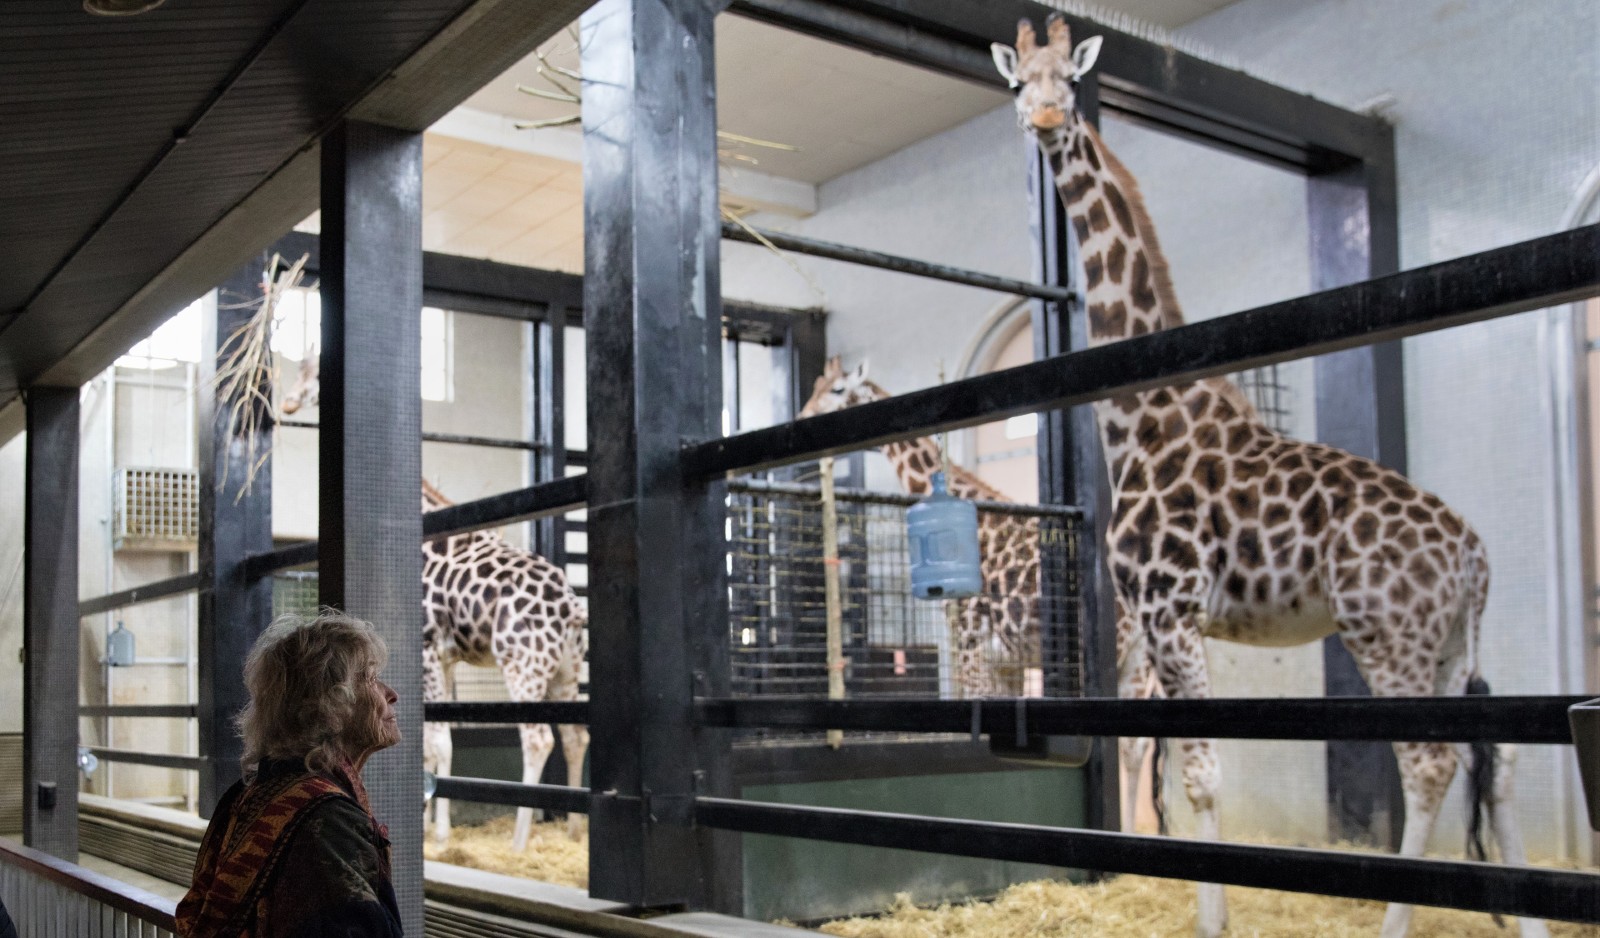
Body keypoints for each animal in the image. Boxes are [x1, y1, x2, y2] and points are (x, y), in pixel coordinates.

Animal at [998, 16, 1548, 934]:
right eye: (1019, 80)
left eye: (1067, 81)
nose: (1040, 119)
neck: (1142, 415)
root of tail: (1475, 555)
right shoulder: (1172, 623)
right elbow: (1185, 766)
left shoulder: (1170, 609)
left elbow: (1199, 775)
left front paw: (1213, 921)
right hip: (1448, 648)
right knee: (1498, 764)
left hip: (1386, 637)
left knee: (1430, 764)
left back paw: (1397, 923)